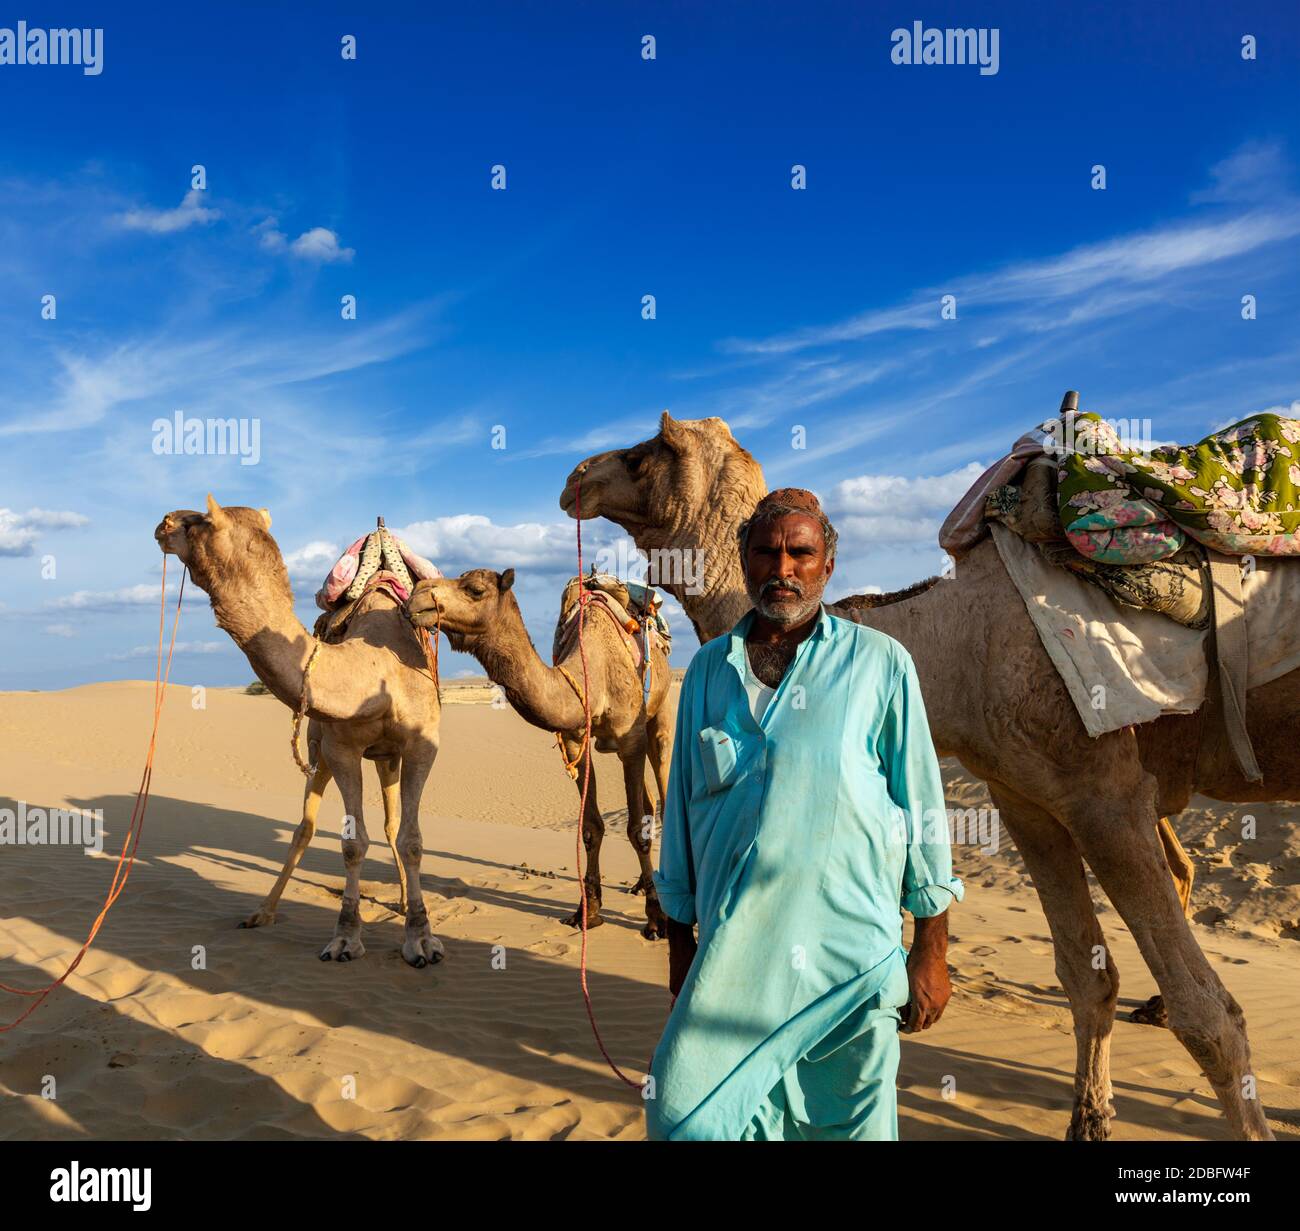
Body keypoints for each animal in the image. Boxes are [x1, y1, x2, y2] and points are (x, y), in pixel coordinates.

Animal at [153, 496, 441, 967]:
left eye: (199, 522)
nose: (164, 521)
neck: (374, 670)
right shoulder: (340, 748)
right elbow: (352, 843)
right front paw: (345, 937)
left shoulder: (422, 745)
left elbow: (412, 840)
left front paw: (420, 938)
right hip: (319, 748)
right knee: (306, 828)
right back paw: (263, 912)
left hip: (386, 757)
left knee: (392, 825)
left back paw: (400, 900)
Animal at [405, 569, 670, 941]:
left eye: (475, 589)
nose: (417, 594)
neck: (595, 674)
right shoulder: (574, 741)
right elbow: (591, 828)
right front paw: (587, 912)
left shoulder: (630, 739)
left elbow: (636, 830)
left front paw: (656, 919)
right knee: (647, 800)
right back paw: (639, 885)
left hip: (659, 716)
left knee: (663, 781)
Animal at [559, 413, 1289, 1143]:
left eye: (645, 452)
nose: (576, 478)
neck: (962, 643)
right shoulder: (1027, 798)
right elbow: (1086, 977)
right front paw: (1088, 1120)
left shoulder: (1107, 795)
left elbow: (1211, 1015)